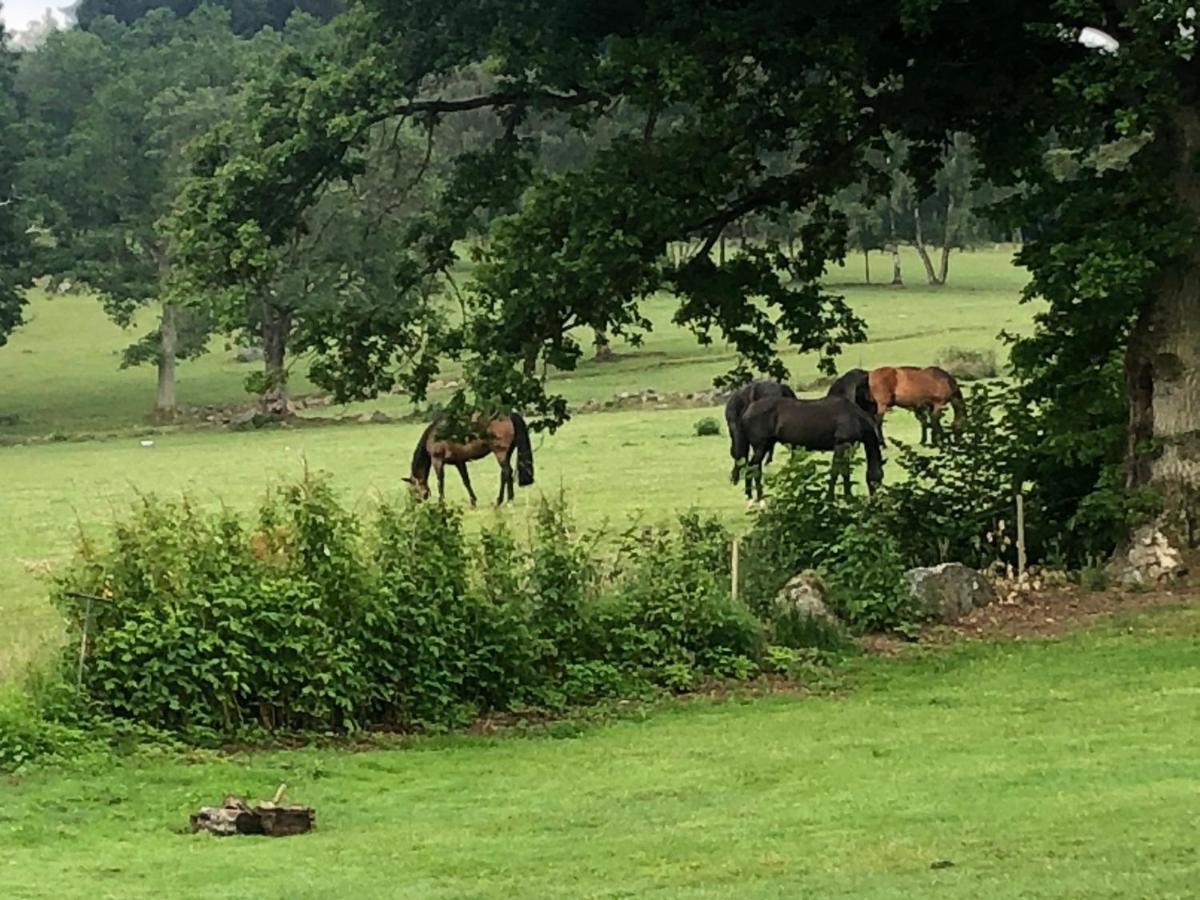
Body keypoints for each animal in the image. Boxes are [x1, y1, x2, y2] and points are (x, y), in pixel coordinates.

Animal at [734, 398, 888, 504]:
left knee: (754, 468)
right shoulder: (841, 445)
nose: (875, 500)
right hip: (761, 446)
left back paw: (753, 495)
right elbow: (837, 471)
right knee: (752, 468)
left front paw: (848, 496)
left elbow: (845, 472)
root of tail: (748, 409)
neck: (854, 416)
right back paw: (757, 496)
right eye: (878, 478)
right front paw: (831, 497)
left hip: (764, 446)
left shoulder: (846, 447)